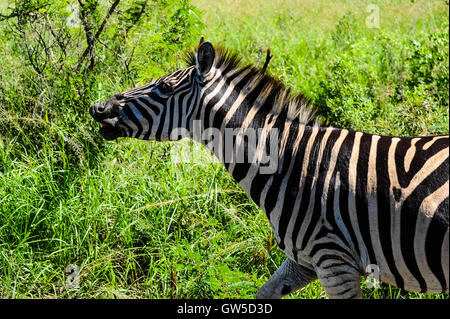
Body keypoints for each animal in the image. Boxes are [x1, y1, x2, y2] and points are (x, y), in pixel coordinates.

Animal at [89, 38, 448, 300]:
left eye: (163, 88)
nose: (97, 107)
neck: (291, 163)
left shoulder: (335, 261)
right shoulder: (304, 261)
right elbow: (264, 292)